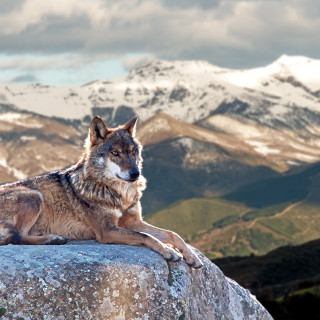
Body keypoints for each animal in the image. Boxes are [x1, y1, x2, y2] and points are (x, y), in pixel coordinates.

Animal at [0, 116, 202, 268]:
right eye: (115, 153)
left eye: (133, 152)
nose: (135, 173)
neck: (120, 194)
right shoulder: (106, 231)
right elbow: (146, 236)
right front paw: (168, 251)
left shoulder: (133, 222)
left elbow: (171, 234)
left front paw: (191, 256)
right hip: (35, 196)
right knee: (17, 237)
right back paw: (52, 239)